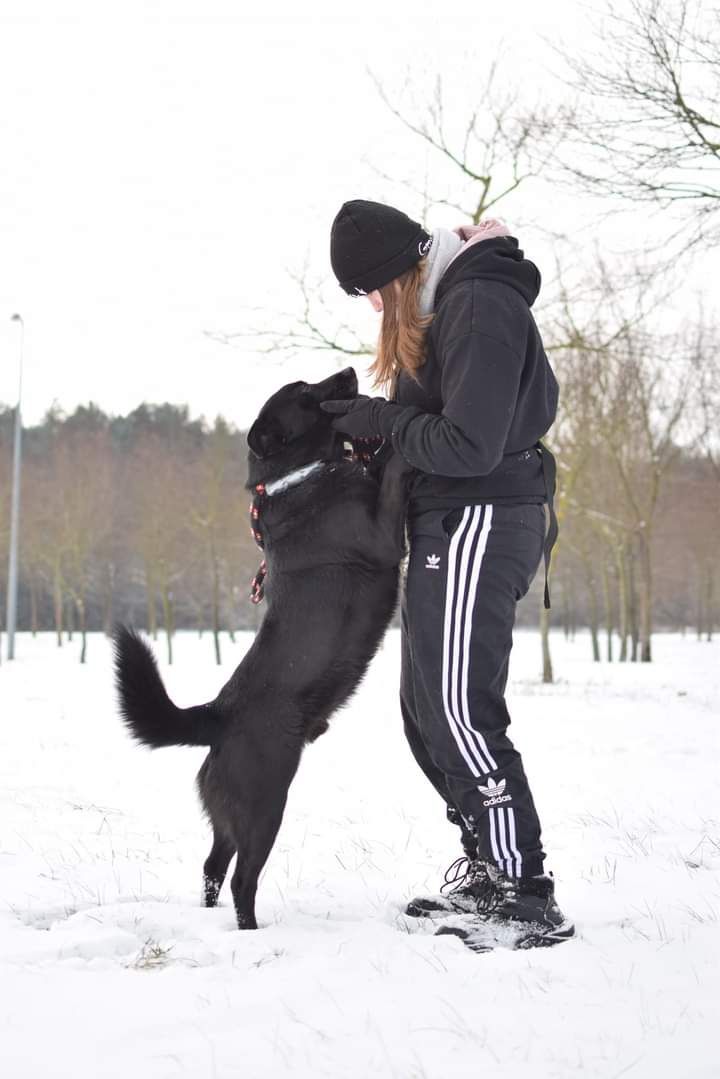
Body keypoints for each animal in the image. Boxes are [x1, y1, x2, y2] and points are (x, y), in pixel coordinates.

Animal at [115, 369, 414, 927]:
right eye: (305, 392)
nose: (348, 373)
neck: (301, 475)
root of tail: (217, 714)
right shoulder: (385, 536)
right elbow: (391, 475)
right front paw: (399, 440)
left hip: (232, 818)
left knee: (212, 865)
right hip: (264, 806)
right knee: (241, 880)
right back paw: (250, 930)